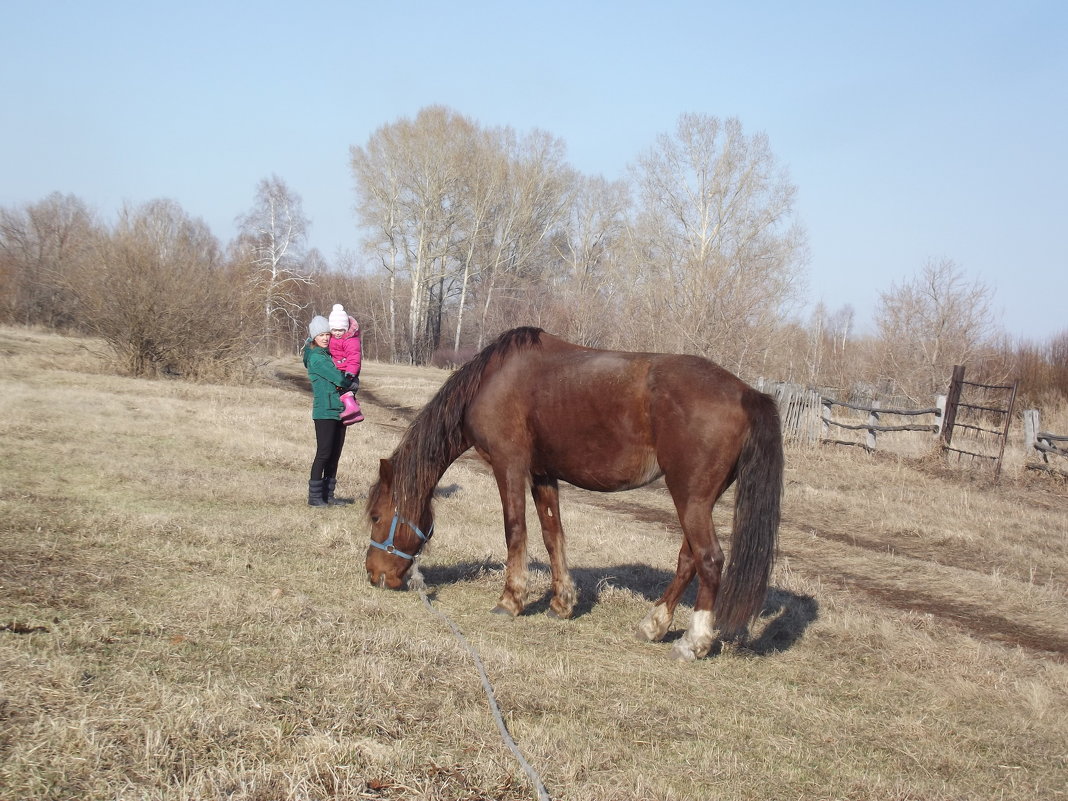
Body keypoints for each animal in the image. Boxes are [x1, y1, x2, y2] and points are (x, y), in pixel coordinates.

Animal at [367, 326, 786, 657]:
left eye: (375, 516)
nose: (373, 575)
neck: (491, 381)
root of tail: (747, 393)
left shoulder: (508, 465)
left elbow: (515, 530)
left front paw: (510, 600)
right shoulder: (542, 474)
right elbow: (552, 534)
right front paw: (562, 603)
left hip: (690, 498)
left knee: (710, 560)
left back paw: (693, 642)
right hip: (698, 500)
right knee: (689, 560)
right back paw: (653, 625)